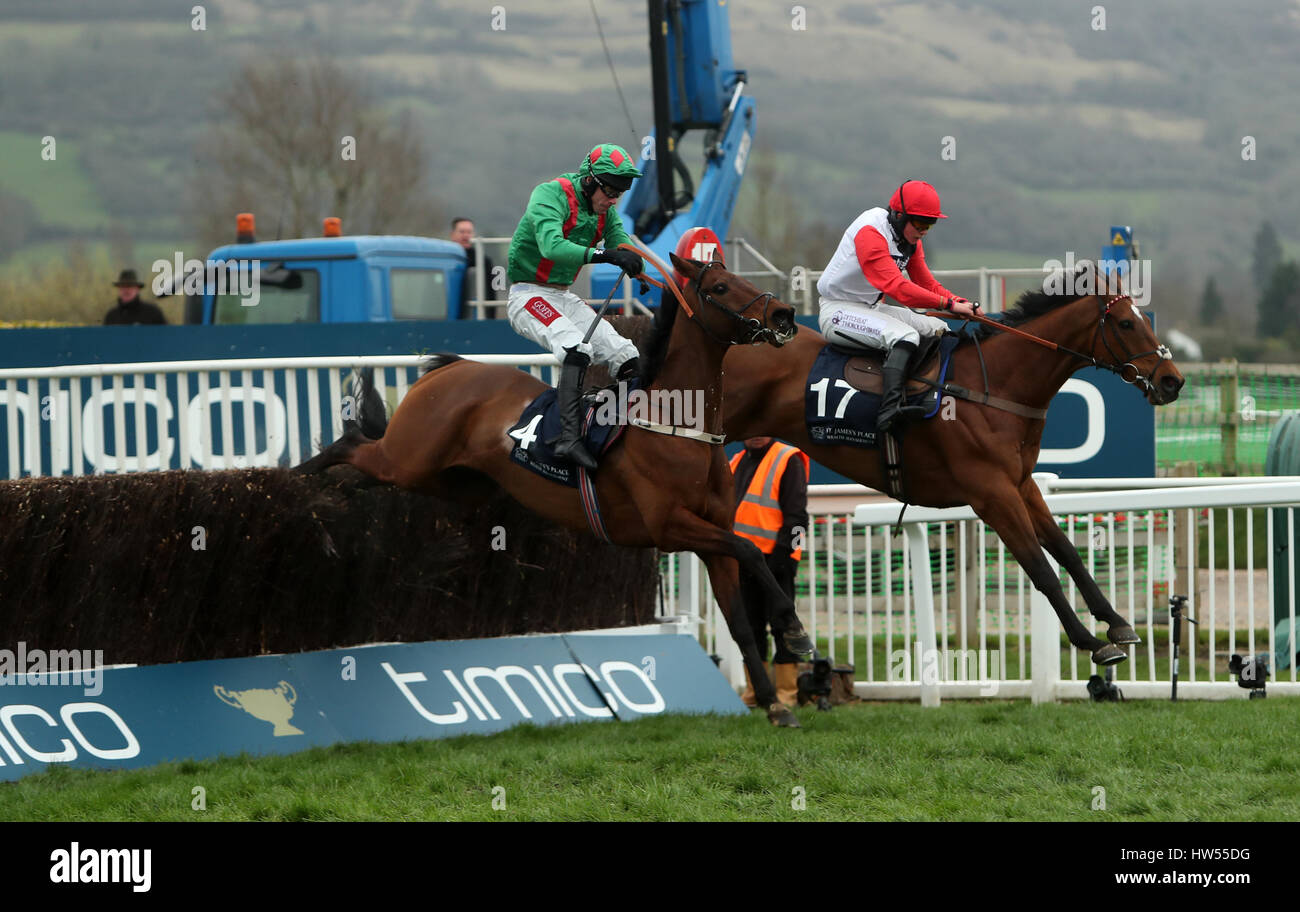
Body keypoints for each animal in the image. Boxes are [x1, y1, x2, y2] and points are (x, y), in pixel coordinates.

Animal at [300, 253, 816, 732]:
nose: (785, 314)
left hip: (449, 482)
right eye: (721, 287)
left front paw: (774, 704)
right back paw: (301, 480)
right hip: (409, 457)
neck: (673, 422)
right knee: (352, 444)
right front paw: (795, 632)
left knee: (360, 473)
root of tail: (447, 370)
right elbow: (751, 550)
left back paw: (326, 494)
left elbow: (741, 620)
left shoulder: (712, 533)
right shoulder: (670, 527)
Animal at [613, 270, 1185, 665]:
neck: (995, 386)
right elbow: (1039, 568)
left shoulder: (1021, 484)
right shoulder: (991, 493)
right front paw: (1092, 641)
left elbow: (1066, 551)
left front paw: (1117, 623)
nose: (1173, 380)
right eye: (1127, 322)